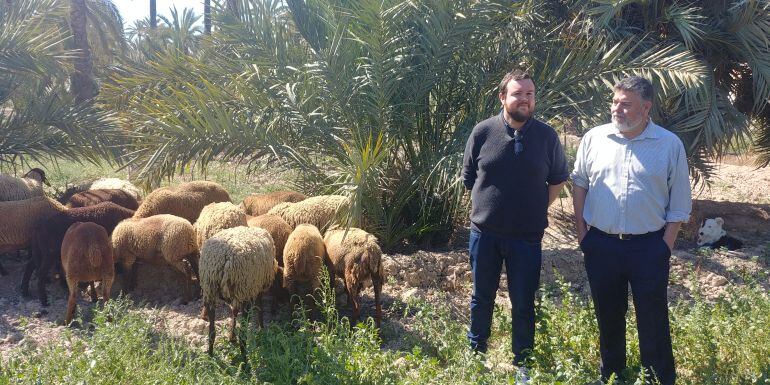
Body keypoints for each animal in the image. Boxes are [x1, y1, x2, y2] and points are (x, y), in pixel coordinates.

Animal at [200, 225, 278, 354]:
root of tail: (225, 258)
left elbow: (234, 311)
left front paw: (231, 336)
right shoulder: (257, 287)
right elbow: (259, 309)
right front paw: (261, 330)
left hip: (210, 288)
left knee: (211, 332)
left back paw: (210, 355)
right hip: (242, 288)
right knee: (243, 335)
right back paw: (245, 358)